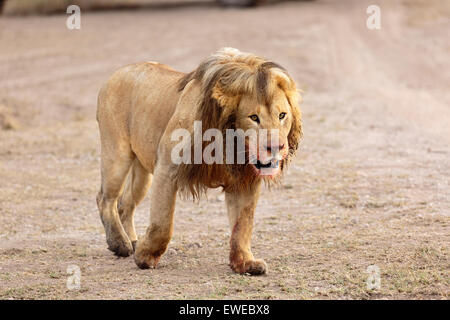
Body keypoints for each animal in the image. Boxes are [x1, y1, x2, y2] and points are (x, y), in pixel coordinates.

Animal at [97, 48, 304, 276]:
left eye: (282, 115)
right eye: (254, 118)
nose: (276, 147)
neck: (230, 141)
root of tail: (117, 72)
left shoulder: (243, 182)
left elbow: (242, 226)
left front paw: (245, 263)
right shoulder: (167, 168)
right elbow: (162, 224)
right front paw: (145, 257)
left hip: (142, 173)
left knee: (125, 203)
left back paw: (132, 241)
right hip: (117, 155)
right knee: (105, 199)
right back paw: (119, 244)